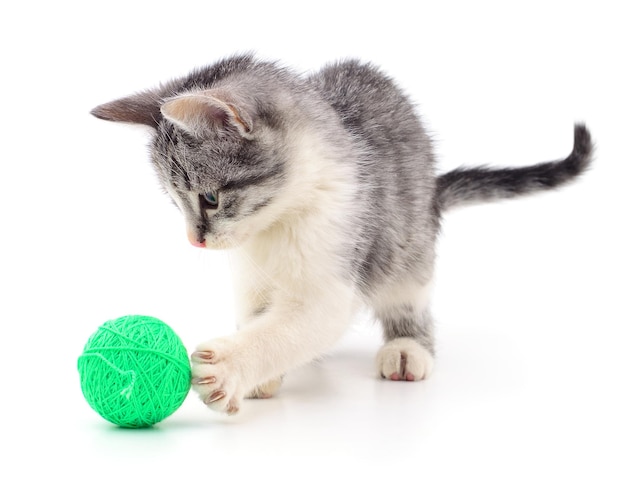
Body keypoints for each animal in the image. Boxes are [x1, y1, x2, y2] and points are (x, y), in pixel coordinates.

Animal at [91, 53, 588, 416]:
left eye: (210, 199)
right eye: (174, 200)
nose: (195, 240)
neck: (276, 223)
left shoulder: (338, 268)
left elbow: (297, 326)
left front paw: (233, 367)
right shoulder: (249, 278)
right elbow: (258, 317)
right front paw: (259, 374)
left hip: (409, 244)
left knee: (410, 294)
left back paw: (408, 347)